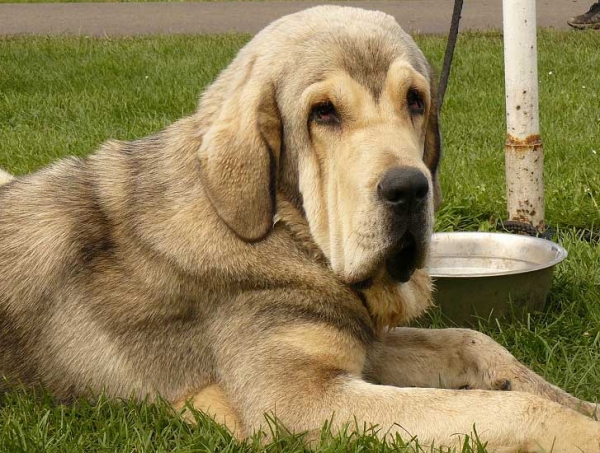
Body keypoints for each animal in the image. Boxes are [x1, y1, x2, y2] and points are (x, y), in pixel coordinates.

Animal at [1, 5, 600, 450]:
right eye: (323, 112)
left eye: (415, 100)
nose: (410, 188)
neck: (285, 230)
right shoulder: (299, 397)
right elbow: (509, 407)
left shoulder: (356, 345)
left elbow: (475, 344)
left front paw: (583, 405)